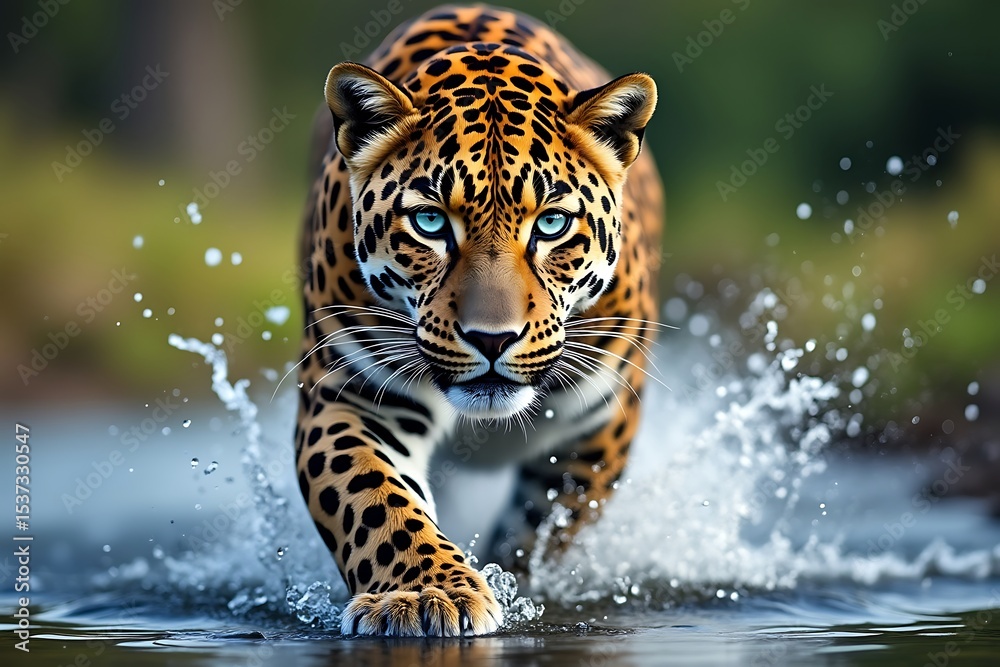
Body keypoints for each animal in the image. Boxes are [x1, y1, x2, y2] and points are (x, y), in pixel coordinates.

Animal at [294, 3, 664, 636]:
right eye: (430, 222)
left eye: (551, 225)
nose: (492, 340)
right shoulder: (352, 397)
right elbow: (375, 501)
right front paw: (423, 594)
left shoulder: (601, 419)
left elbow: (545, 528)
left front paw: (510, 582)